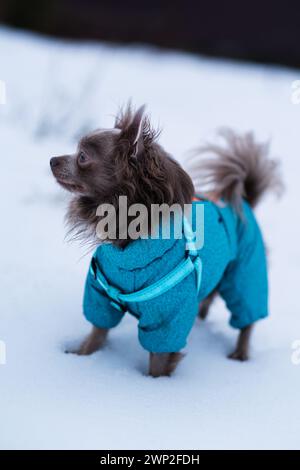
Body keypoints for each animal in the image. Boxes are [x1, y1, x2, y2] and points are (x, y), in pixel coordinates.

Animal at [49, 104, 282, 376]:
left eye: (83, 156)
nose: (52, 160)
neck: (129, 247)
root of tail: (244, 201)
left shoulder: (167, 316)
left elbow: (158, 360)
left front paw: (154, 384)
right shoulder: (101, 296)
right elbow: (97, 331)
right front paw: (82, 356)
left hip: (245, 273)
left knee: (246, 318)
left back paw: (240, 354)